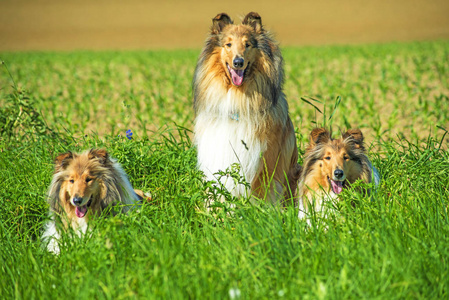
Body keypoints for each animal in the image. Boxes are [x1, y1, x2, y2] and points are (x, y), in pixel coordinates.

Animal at [192, 12, 300, 206]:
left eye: (247, 44)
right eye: (228, 44)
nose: (238, 62)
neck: (238, 98)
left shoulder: (265, 160)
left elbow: (262, 194)